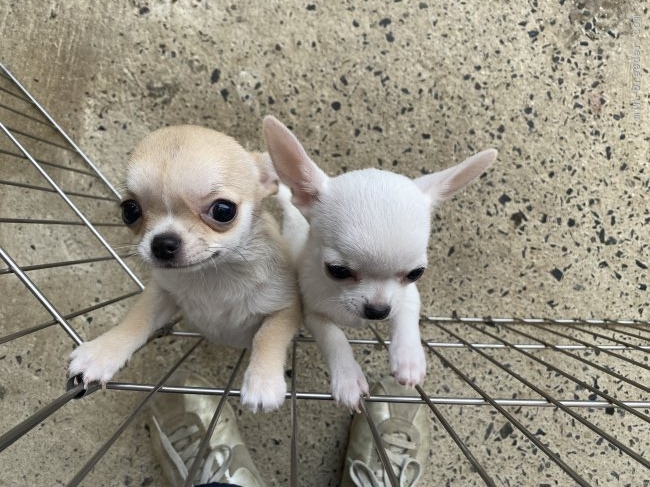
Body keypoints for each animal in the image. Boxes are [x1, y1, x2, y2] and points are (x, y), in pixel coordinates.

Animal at [67, 125, 300, 412]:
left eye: (224, 210)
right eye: (129, 211)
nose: (162, 243)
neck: (212, 274)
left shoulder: (288, 307)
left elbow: (269, 334)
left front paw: (263, 382)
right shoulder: (161, 293)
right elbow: (137, 319)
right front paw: (102, 353)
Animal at [260, 116, 494, 410]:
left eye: (416, 273)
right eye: (337, 271)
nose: (378, 310)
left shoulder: (408, 296)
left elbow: (406, 318)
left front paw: (408, 359)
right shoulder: (312, 311)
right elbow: (334, 337)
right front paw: (348, 378)